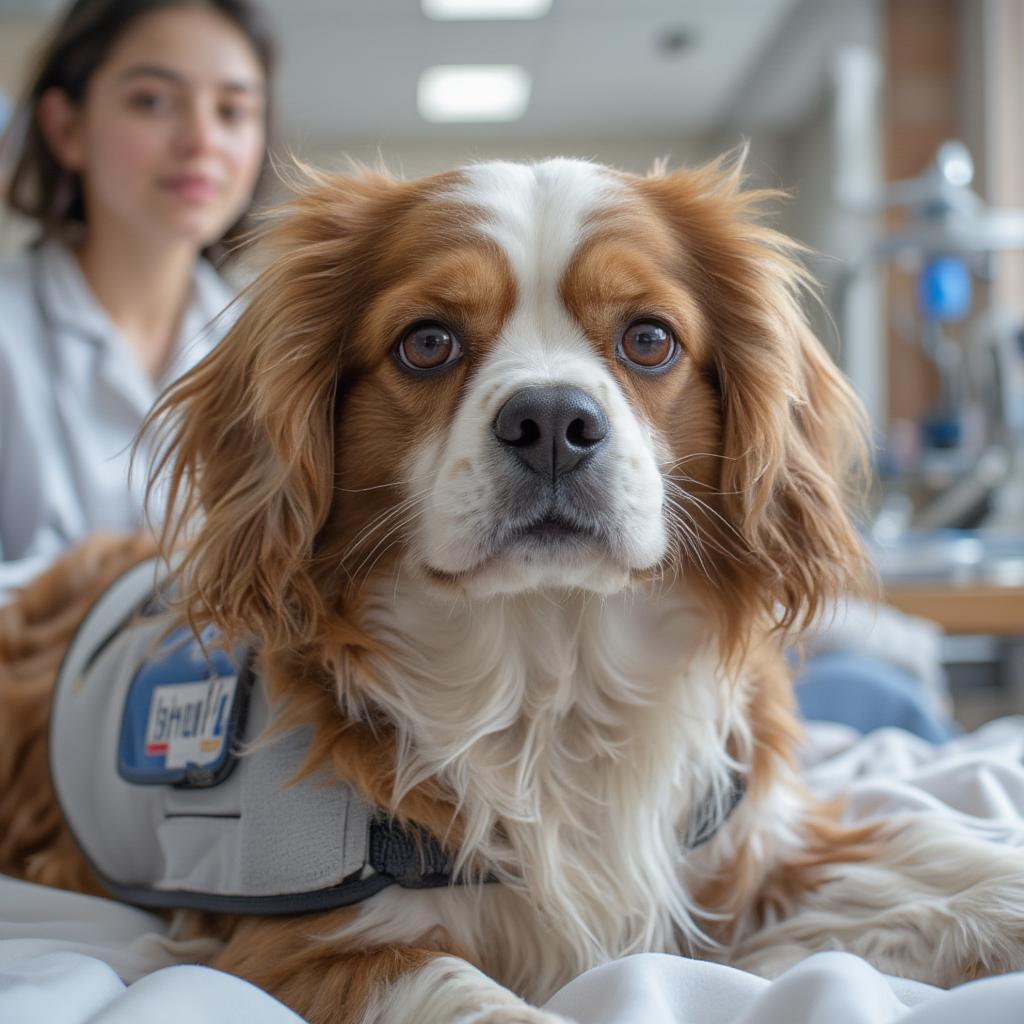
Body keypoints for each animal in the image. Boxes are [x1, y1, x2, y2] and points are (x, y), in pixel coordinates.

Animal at [2, 153, 1024, 1024]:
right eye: (426, 343)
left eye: (649, 340)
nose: (552, 420)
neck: (553, 676)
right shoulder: (293, 946)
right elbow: (465, 993)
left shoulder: (755, 854)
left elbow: (936, 863)